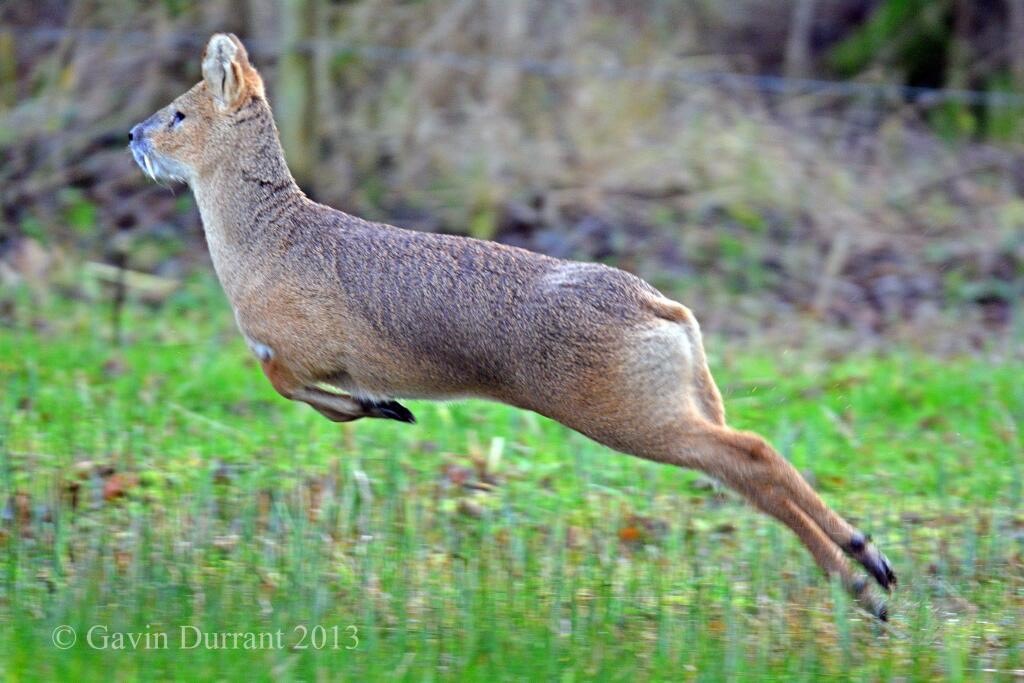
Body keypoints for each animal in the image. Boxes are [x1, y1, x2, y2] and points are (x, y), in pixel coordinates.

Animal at [128, 33, 897, 618]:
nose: (132, 133)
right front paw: (388, 407)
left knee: (752, 452)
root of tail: (664, 307)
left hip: (624, 412)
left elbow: (290, 382)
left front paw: (387, 406)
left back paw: (864, 580)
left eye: (178, 114)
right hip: (673, 404)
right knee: (745, 463)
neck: (265, 244)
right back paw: (869, 565)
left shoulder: (300, 348)